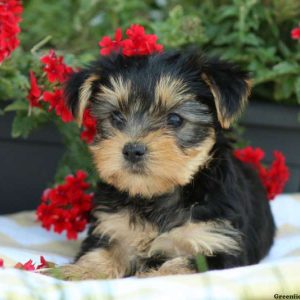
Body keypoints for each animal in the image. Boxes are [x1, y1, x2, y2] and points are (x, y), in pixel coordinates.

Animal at [55, 49, 276, 278]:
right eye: (116, 117)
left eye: (175, 119)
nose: (133, 150)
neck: (156, 197)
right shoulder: (112, 228)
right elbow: (99, 254)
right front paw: (73, 272)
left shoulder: (218, 243)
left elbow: (180, 267)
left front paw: (151, 274)